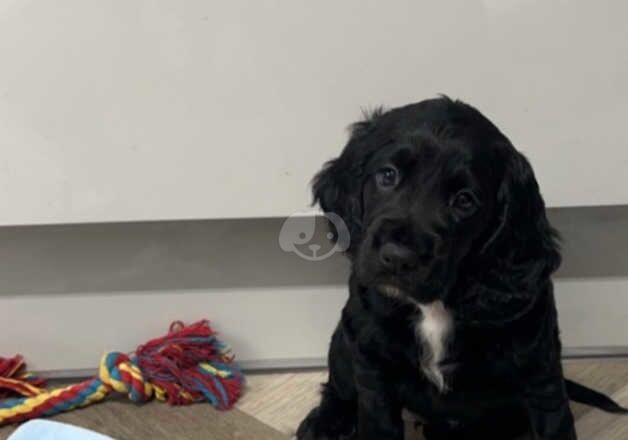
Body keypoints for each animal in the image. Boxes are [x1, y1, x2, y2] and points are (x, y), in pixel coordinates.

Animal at [296, 97, 624, 440]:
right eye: (387, 175)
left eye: (465, 201)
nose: (397, 257)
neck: (436, 304)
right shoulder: (372, 363)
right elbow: (376, 422)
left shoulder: (540, 371)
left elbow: (554, 425)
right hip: (345, 338)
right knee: (339, 385)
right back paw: (325, 421)